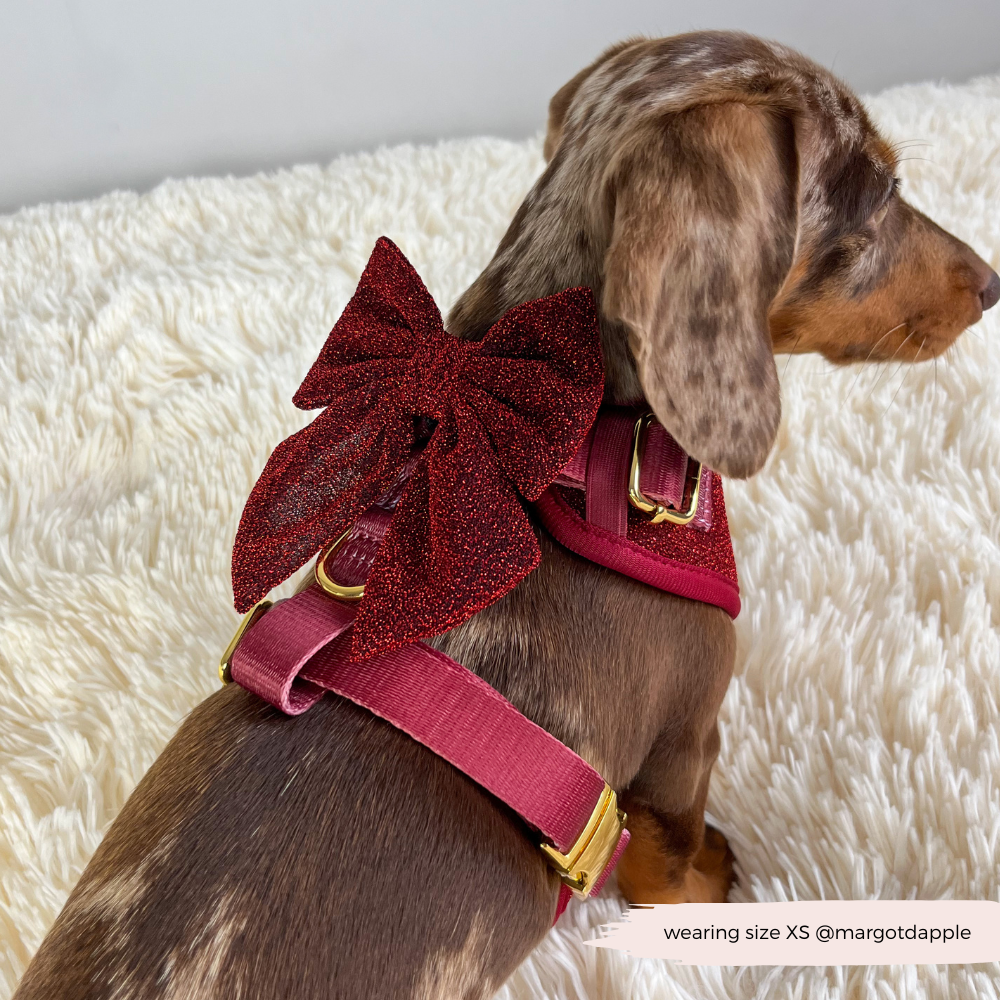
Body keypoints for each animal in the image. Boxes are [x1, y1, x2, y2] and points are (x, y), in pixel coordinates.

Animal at [11, 31, 996, 1000]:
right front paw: (708, 884)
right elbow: (669, 862)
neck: (571, 454)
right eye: (882, 191)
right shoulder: (686, 739)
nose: (991, 284)